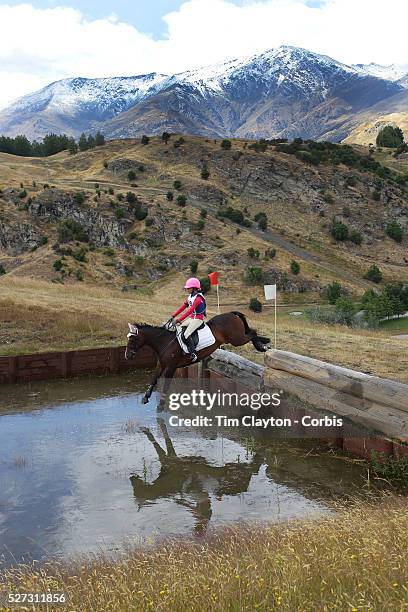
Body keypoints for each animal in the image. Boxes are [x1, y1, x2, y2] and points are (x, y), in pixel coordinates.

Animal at [126, 310, 270, 406]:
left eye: (133, 340)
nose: (127, 356)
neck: (164, 343)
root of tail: (231, 314)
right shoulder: (161, 364)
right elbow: (154, 379)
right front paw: (146, 398)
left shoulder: (171, 366)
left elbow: (166, 385)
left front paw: (161, 404)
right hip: (237, 338)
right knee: (251, 332)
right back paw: (263, 343)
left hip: (237, 339)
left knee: (252, 333)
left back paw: (262, 346)